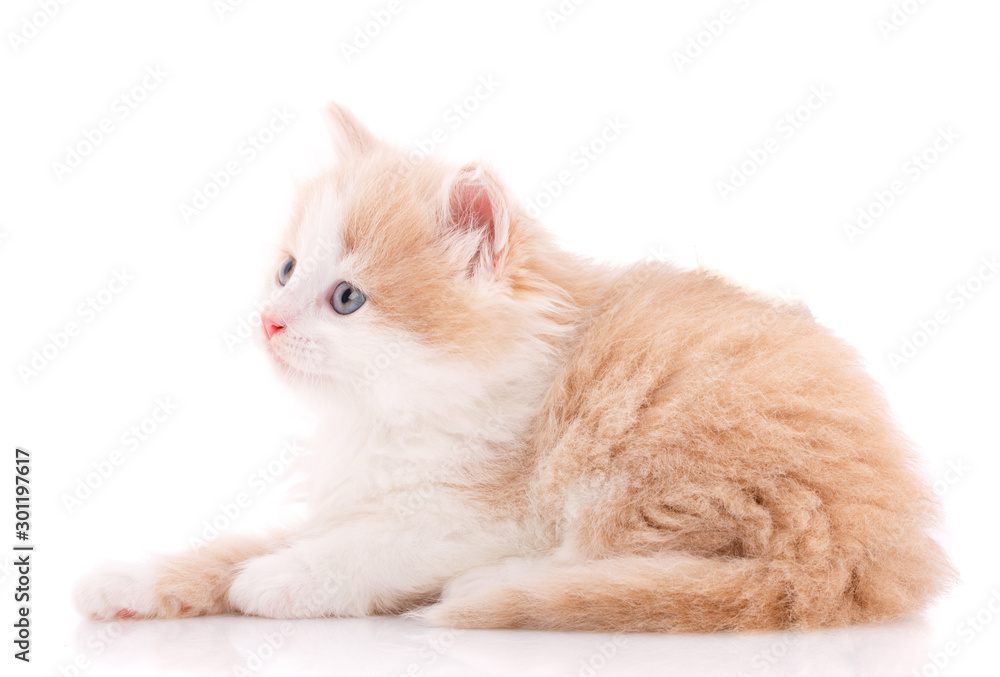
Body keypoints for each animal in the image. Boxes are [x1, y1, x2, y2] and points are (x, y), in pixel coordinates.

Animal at [76, 103, 952, 632]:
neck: (391, 412)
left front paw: (278, 579)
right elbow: (229, 545)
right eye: (287, 269)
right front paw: (129, 580)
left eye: (347, 297)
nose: (268, 319)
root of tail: (872, 549)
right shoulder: (351, 493)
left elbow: (367, 546)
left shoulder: (479, 513)